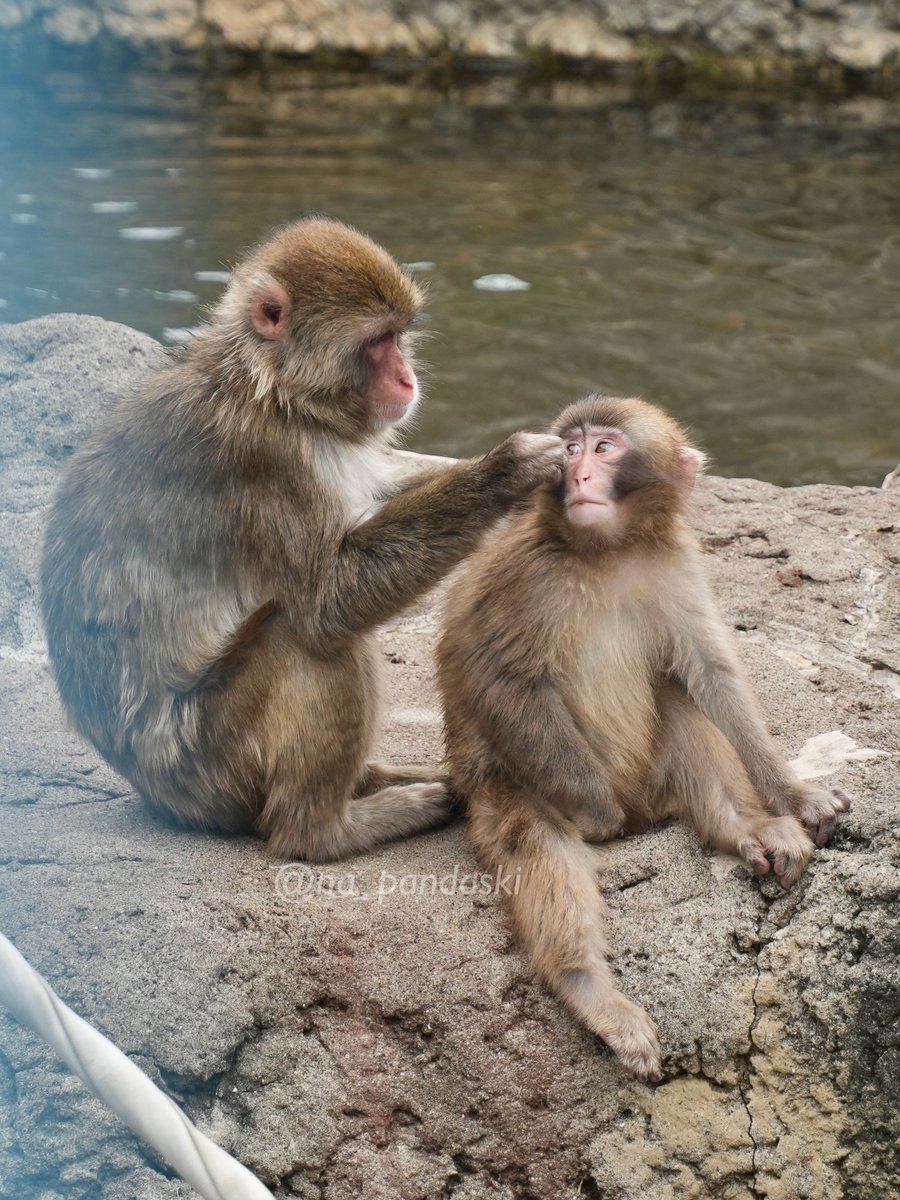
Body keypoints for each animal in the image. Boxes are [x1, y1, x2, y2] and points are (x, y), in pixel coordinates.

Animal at [40, 217, 567, 863]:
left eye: (399, 336)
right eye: (377, 342)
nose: (407, 377)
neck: (271, 389)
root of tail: (161, 796)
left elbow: (377, 478)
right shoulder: (262, 462)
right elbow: (326, 601)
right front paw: (507, 470)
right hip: (215, 759)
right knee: (303, 634)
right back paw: (329, 828)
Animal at [436, 394, 851, 1082]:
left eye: (604, 448)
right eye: (570, 447)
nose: (578, 474)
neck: (610, 552)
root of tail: (644, 809)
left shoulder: (673, 565)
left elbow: (712, 675)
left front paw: (794, 795)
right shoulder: (524, 573)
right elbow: (497, 676)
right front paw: (596, 815)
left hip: (654, 777)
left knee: (676, 693)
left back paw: (742, 826)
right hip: (509, 786)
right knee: (536, 840)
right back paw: (591, 987)